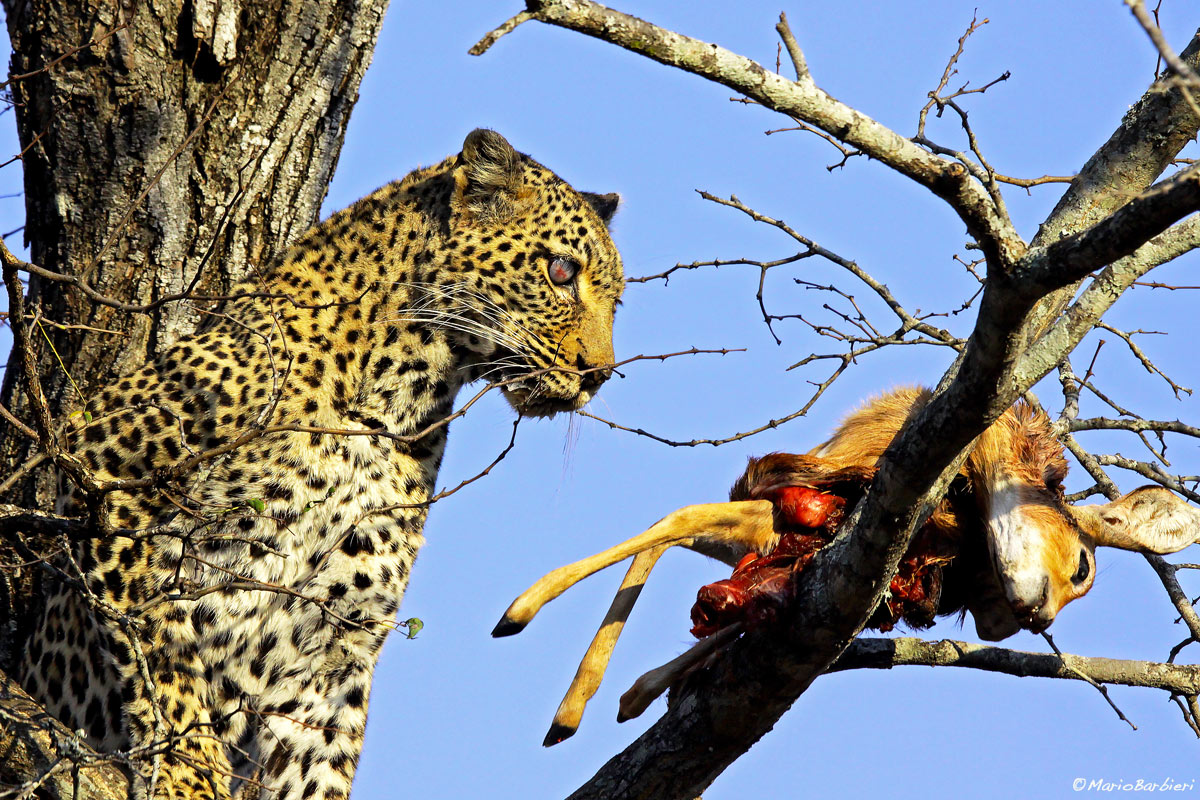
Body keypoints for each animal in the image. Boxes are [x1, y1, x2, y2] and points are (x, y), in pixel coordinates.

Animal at [15, 128, 623, 800]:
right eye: (561, 272)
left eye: (617, 303)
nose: (599, 376)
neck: (400, 392)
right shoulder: (106, 475)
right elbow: (162, 655)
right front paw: (187, 775)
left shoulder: (335, 643)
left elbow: (318, 757)